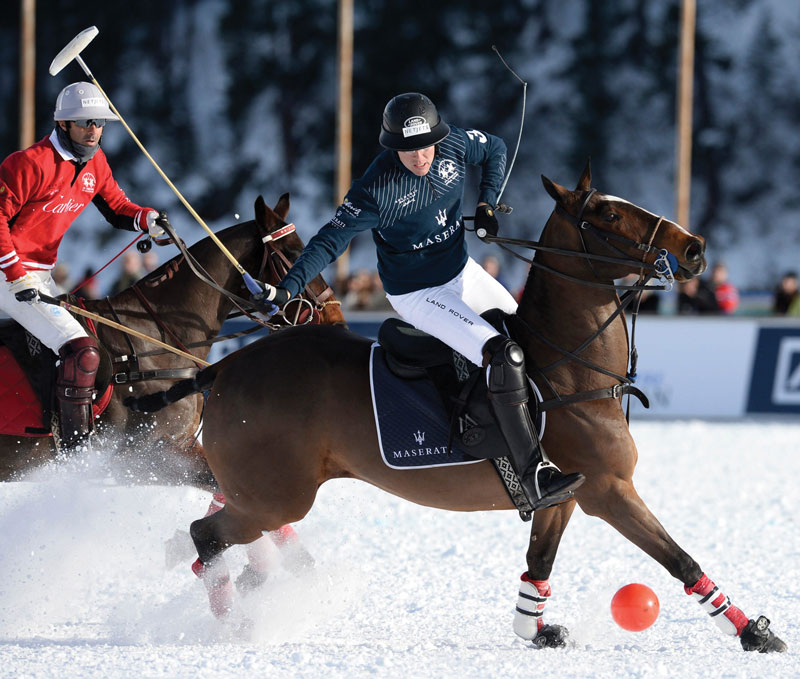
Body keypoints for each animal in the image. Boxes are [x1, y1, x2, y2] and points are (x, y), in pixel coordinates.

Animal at [128, 165, 784, 652]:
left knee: (213, 530)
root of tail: (225, 367)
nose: (695, 248)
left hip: (259, 488)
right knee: (206, 534)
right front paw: (753, 633)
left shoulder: (561, 495)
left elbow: (538, 563)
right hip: (276, 493)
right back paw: (236, 618)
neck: (569, 366)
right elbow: (679, 558)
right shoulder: (609, 488)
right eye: (608, 214)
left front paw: (533, 628)